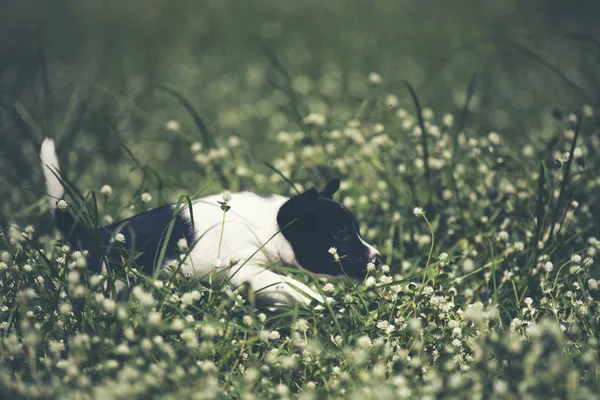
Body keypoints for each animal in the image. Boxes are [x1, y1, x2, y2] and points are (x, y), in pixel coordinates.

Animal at [39, 138, 380, 306]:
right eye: (340, 234)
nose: (377, 258)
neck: (268, 225)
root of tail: (87, 234)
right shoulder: (245, 269)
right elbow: (290, 284)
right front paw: (321, 302)